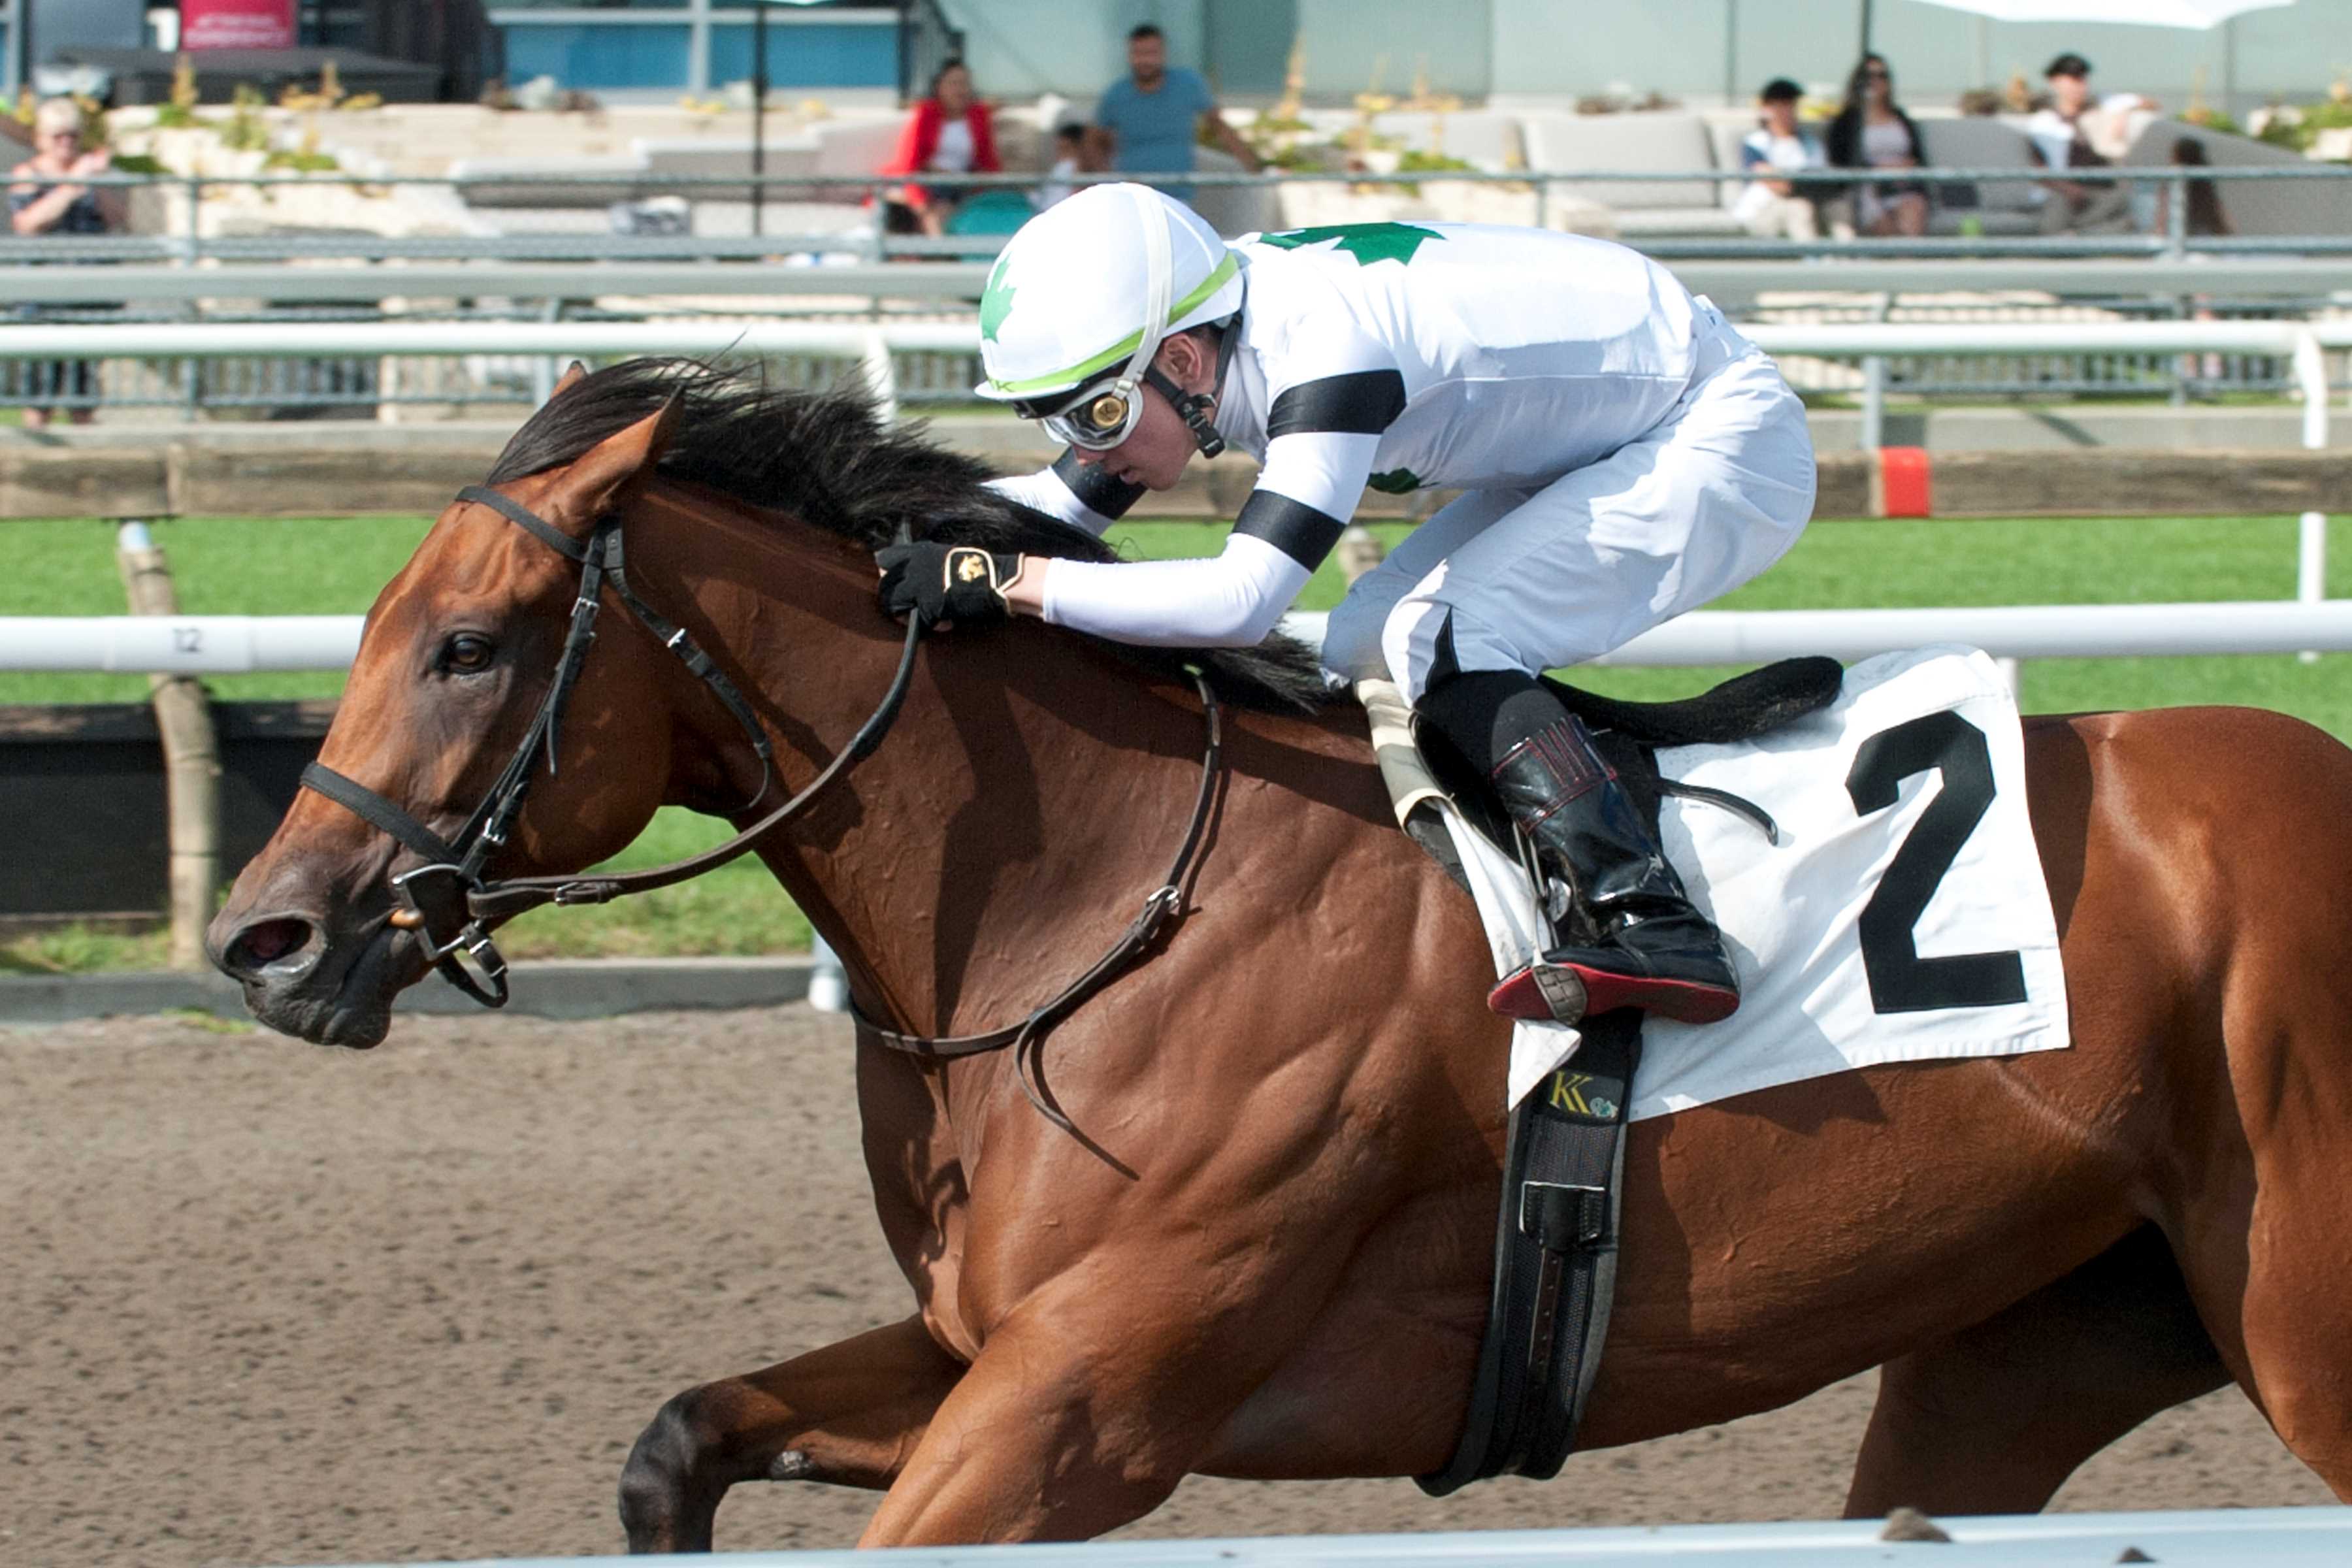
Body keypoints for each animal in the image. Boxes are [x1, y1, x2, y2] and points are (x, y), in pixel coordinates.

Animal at [212, 362, 2342, 1551]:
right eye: (375, 623)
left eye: (468, 643)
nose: (265, 932)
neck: (1088, 900)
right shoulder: (985, 1340)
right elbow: (676, 1440)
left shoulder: (1096, 1398)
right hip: (2027, 1346)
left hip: (2297, 1325)